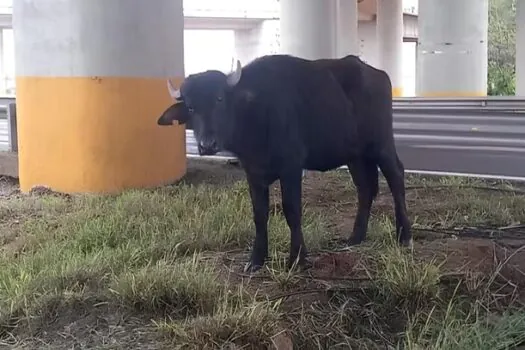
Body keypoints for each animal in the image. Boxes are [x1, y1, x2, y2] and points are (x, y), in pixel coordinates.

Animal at [158, 54, 412, 274]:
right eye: (191, 106)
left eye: (220, 98)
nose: (206, 145)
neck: (256, 116)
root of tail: (375, 73)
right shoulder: (253, 173)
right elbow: (259, 214)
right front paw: (256, 259)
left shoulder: (291, 167)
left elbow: (292, 210)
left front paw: (297, 258)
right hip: (355, 156)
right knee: (365, 188)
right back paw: (356, 237)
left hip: (381, 144)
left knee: (396, 177)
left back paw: (404, 235)